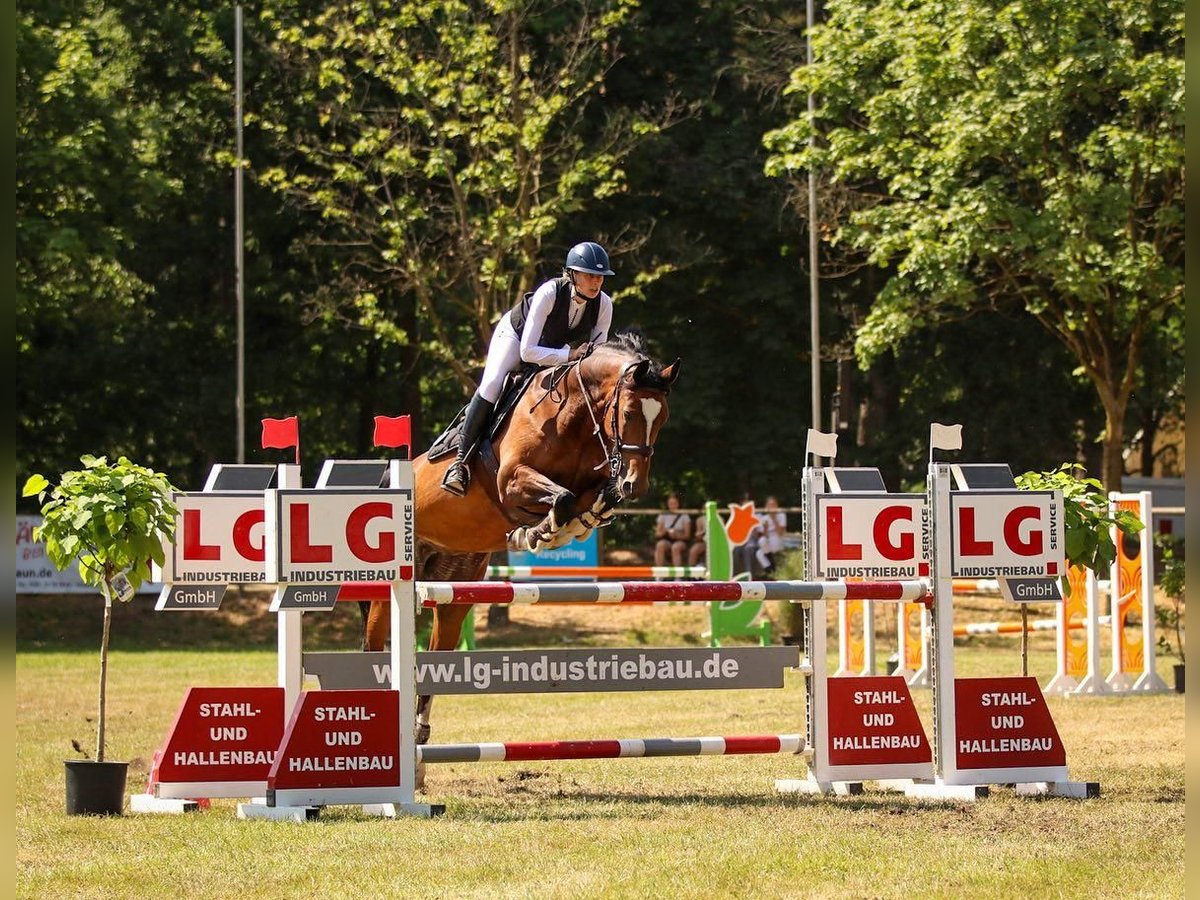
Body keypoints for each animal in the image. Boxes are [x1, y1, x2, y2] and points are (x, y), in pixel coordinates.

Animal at [360, 328, 681, 753]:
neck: (573, 419)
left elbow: (589, 500)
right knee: (373, 646)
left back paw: (418, 730)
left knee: (437, 651)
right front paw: (537, 532)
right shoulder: (512, 481)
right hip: (389, 591)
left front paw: (570, 524)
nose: (636, 485)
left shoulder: (591, 481)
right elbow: (561, 498)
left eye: (662, 419)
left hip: (455, 586)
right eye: (628, 413)